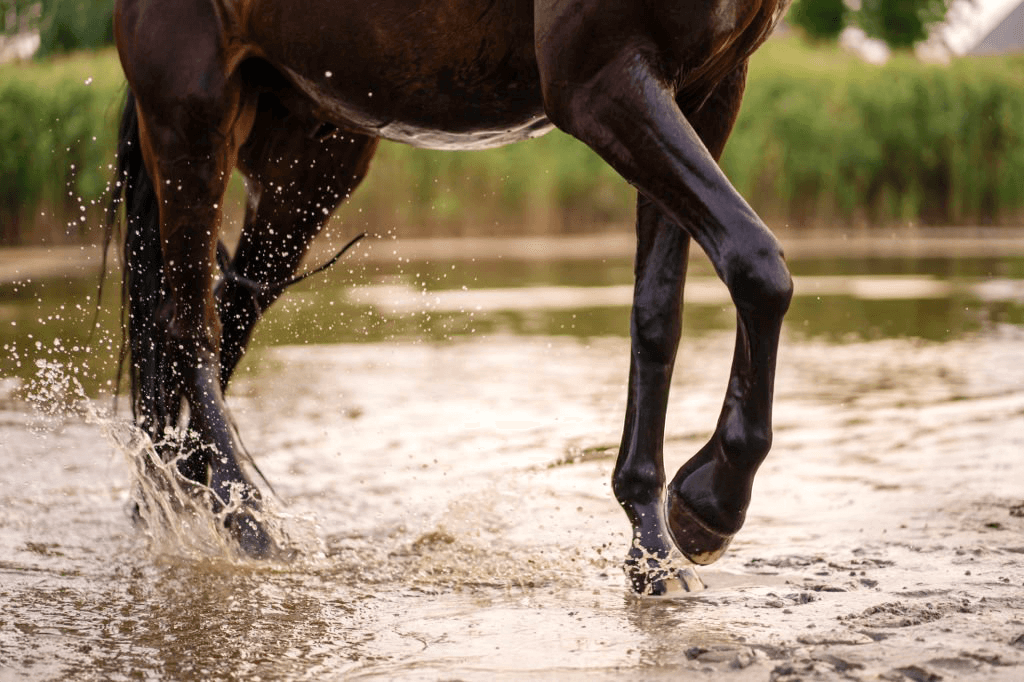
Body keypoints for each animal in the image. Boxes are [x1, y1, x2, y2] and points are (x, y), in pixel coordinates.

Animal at [107, 0, 794, 596]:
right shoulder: (601, 83)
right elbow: (758, 266)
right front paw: (710, 505)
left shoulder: (706, 90)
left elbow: (658, 314)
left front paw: (654, 546)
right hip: (192, 116)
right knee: (189, 326)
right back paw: (248, 520)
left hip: (307, 157)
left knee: (223, 315)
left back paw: (182, 495)